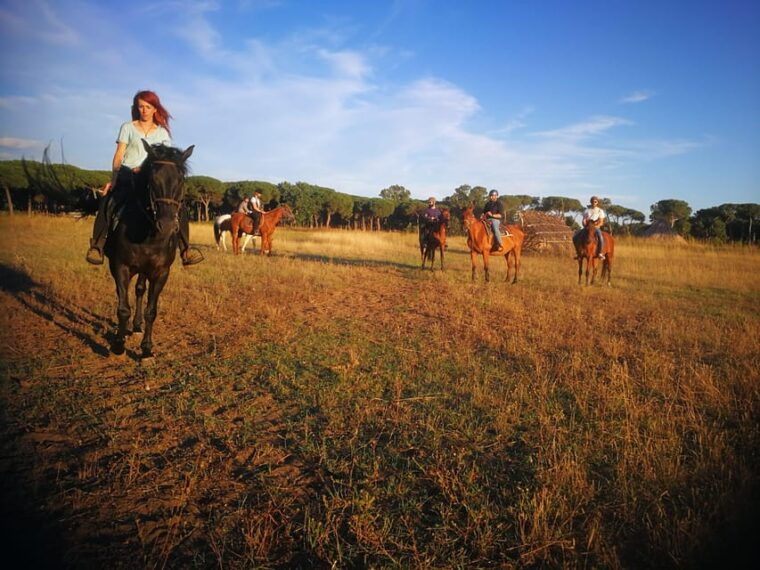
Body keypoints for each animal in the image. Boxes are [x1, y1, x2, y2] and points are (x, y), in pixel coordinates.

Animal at [105, 140, 194, 361]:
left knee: (139, 290)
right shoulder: (120, 267)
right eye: (153, 180)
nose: (168, 226)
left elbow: (151, 310)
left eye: (181, 180)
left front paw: (146, 350)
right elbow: (123, 309)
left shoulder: (160, 272)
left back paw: (136, 327)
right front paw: (118, 346)